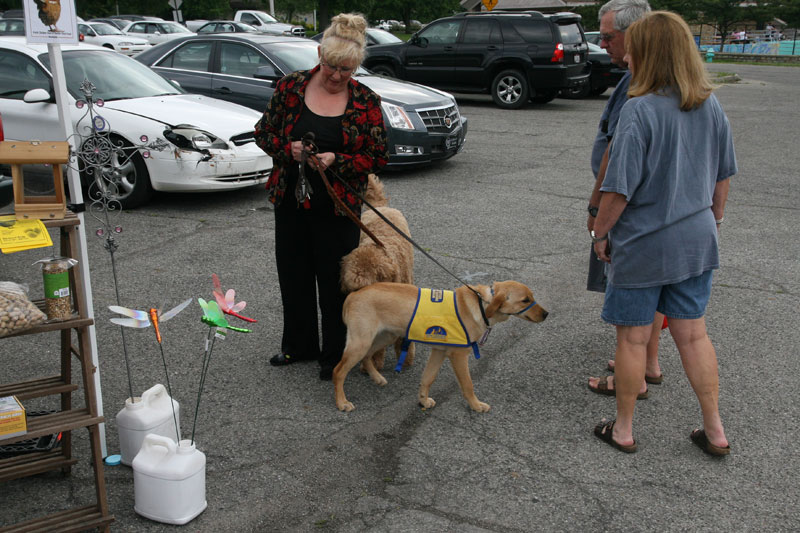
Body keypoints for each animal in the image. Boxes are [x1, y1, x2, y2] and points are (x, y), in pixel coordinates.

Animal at [332, 282, 552, 412]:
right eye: (525, 300)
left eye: (532, 297)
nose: (546, 314)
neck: (482, 305)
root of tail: (353, 295)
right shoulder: (458, 355)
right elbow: (468, 384)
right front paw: (476, 405)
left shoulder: (439, 352)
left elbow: (427, 379)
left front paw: (422, 400)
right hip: (362, 341)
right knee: (339, 371)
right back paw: (341, 402)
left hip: (383, 337)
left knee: (367, 357)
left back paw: (377, 377)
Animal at [340, 175, 416, 370]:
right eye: (352, 288)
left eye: (365, 287)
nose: (355, 302)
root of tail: (381, 207)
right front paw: (373, 362)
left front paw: (405, 356)